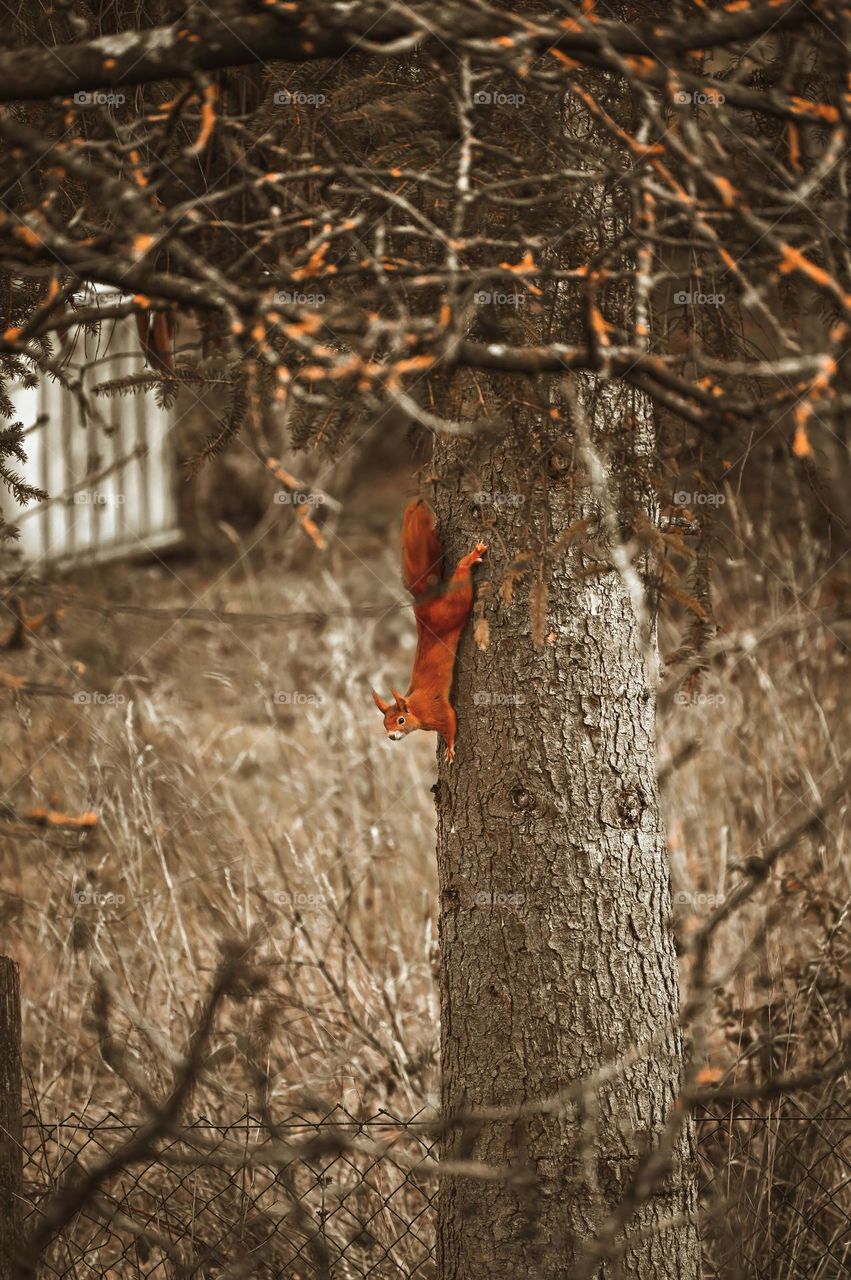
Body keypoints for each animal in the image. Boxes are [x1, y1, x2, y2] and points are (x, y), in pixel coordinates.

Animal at [372, 499, 487, 763]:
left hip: (453, 607)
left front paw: (451, 748)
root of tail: (424, 603)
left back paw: (469, 559)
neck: (416, 709)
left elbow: (451, 723)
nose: (391, 737)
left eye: (400, 720)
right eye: (384, 723)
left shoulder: (437, 710)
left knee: (461, 582)